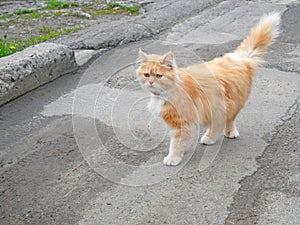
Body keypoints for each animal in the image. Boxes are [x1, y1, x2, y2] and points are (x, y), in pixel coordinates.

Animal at [136, 13, 282, 166]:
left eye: (159, 75)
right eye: (146, 75)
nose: (151, 82)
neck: (170, 90)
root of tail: (238, 59)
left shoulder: (183, 124)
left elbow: (176, 144)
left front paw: (173, 158)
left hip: (230, 104)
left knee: (228, 121)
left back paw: (220, 135)